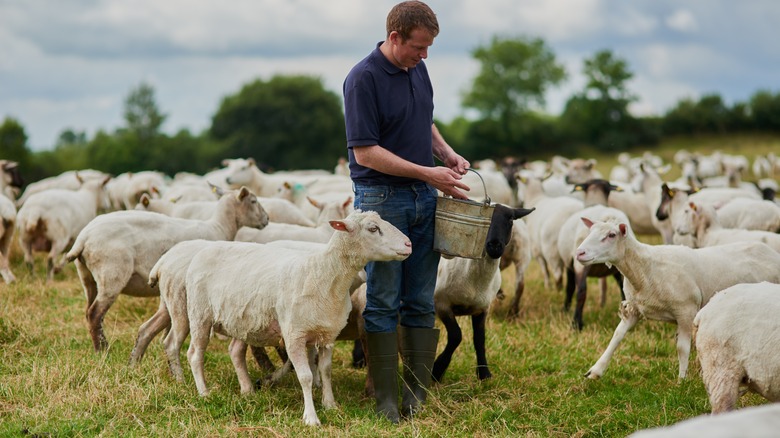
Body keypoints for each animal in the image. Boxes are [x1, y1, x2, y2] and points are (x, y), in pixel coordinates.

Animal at [62, 186, 268, 350]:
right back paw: (102, 349)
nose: (267, 219)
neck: (220, 227)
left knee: (90, 312)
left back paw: (99, 344)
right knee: (95, 313)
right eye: (253, 201)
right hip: (111, 274)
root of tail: (84, 237)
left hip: (87, 277)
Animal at [174, 210, 412, 426]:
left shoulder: (327, 334)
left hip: (242, 322)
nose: (409, 244)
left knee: (235, 351)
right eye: (373, 228)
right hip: (199, 314)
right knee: (194, 354)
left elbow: (325, 371)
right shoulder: (294, 335)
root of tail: (206, 249)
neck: (322, 274)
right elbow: (306, 376)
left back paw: (248, 390)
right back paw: (204, 392)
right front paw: (311, 418)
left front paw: (330, 405)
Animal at [572, 218, 780, 380]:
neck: (646, 269)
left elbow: (682, 348)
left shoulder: (686, 311)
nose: (579, 253)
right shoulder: (634, 309)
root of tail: (770, 253)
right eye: (590, 231)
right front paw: (596, 370)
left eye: (611, 235)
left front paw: (681, 380)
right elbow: (616, 336)